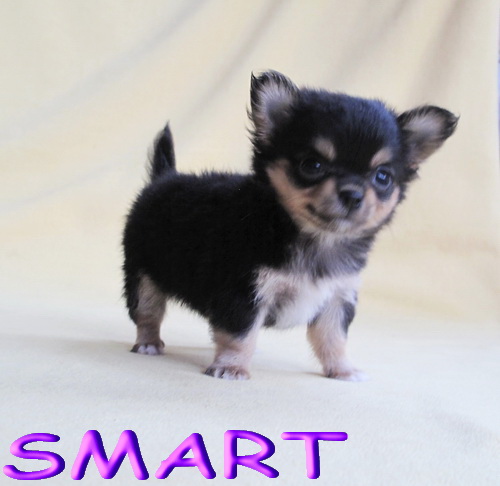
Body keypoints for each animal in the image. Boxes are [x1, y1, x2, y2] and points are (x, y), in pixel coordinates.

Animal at [122, 71, 457, 380]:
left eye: (383, 177)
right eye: (312, 165)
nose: (353, 194)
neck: (316, 239)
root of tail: (165, 177)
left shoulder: (336, 298)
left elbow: (333, 339)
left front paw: (343, 369)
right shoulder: (243, 293)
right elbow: (240, 334)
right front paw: (232, 366)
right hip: (143, 278)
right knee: (148, 313)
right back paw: (149, 344)